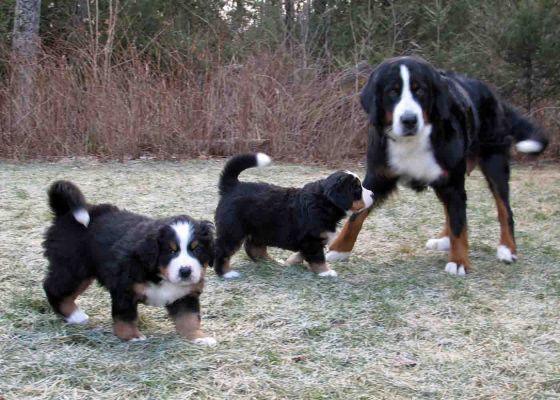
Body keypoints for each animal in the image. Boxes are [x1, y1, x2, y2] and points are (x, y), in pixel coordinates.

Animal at [41, 180, 215, 344]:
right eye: (170, 251)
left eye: (197, 249)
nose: (185, 271)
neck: (158, 273)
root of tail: (65, 213)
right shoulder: (124, 288)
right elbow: (125, 316)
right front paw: (132, 336)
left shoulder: (185, 295)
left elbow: (189, 318)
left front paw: (198, 337)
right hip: (74, 268)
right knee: (53, 288)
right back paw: (75, 316)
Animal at [212, 153, 374, 278]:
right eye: (357, 189)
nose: (373, 194)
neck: (324, 203)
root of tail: (232, 186)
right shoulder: (312, 240)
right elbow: (318, 258)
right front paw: (326, 272)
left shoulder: (311, 241)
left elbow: (302, 254)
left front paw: (290, 261)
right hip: (233, 230)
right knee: (223, 251)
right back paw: (226, 273)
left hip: (260, 229)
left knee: (253, 247)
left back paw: (270, 261)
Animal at [326, 55, 548, 276]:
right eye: (392, 92)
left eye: (420, 90)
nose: (409, 120)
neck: (413, 141)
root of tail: (490, 91)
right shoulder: (379, 176)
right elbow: (356, 215)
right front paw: (339, 249)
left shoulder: (452, 182)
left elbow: (459, 222)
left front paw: (459, 261)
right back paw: (444, 240)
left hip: (494, 163)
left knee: (504, 209)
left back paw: (507, 249)